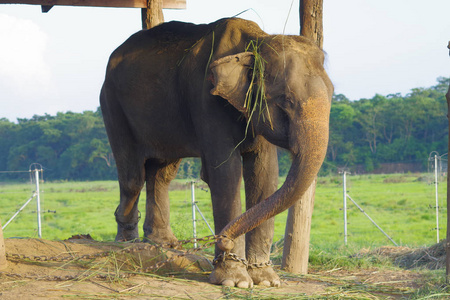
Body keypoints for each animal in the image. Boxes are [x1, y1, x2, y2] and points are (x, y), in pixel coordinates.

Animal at [101, 17, 334, 288]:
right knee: (133, 177)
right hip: (112, 104)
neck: (257, 40)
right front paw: (235, 280)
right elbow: (225, 173)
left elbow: (265, 175)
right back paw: (127, 241)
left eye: (332, 94)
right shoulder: (206, 99)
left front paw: (265, 280)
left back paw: (162, 242)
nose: (223, 240)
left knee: (162, 173)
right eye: (286, 100)